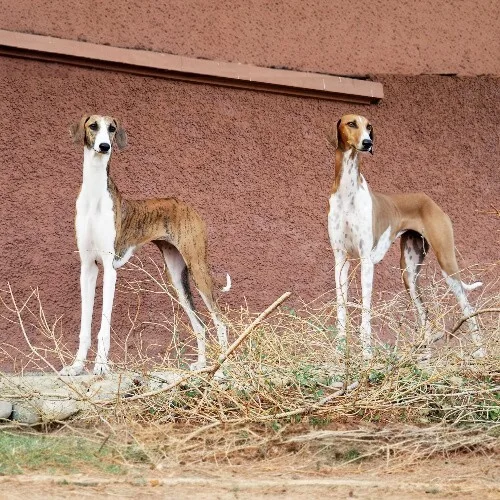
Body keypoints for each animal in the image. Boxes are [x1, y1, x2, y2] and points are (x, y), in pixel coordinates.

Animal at [60, 116, 230, 376]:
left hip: (198, 267)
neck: (94, 196)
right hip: (176, 277)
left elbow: (103, 326)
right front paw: (77, 366)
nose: (104, 147)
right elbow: (85, 327)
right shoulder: (88, 267)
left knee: (220, 321)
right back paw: (202, 364)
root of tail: (188, 206)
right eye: (93, 126)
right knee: (199, 323)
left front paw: (100, 366)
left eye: (112, 128)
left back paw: (223, 368)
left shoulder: (109, 268)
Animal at [326, 114, 482, 360]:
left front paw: (367, 354)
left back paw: (480, 352)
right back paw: (425, 355)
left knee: (468, 307)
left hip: (446, 262)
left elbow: (365, 312)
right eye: (351, 124)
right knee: (425, 314)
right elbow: (341, 309)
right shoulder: (341, 259)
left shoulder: (366, 261)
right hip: (408, 273)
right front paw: (341, 352)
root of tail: (429, 199)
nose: (368, 143)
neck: (347, 192)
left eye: (369, 126)